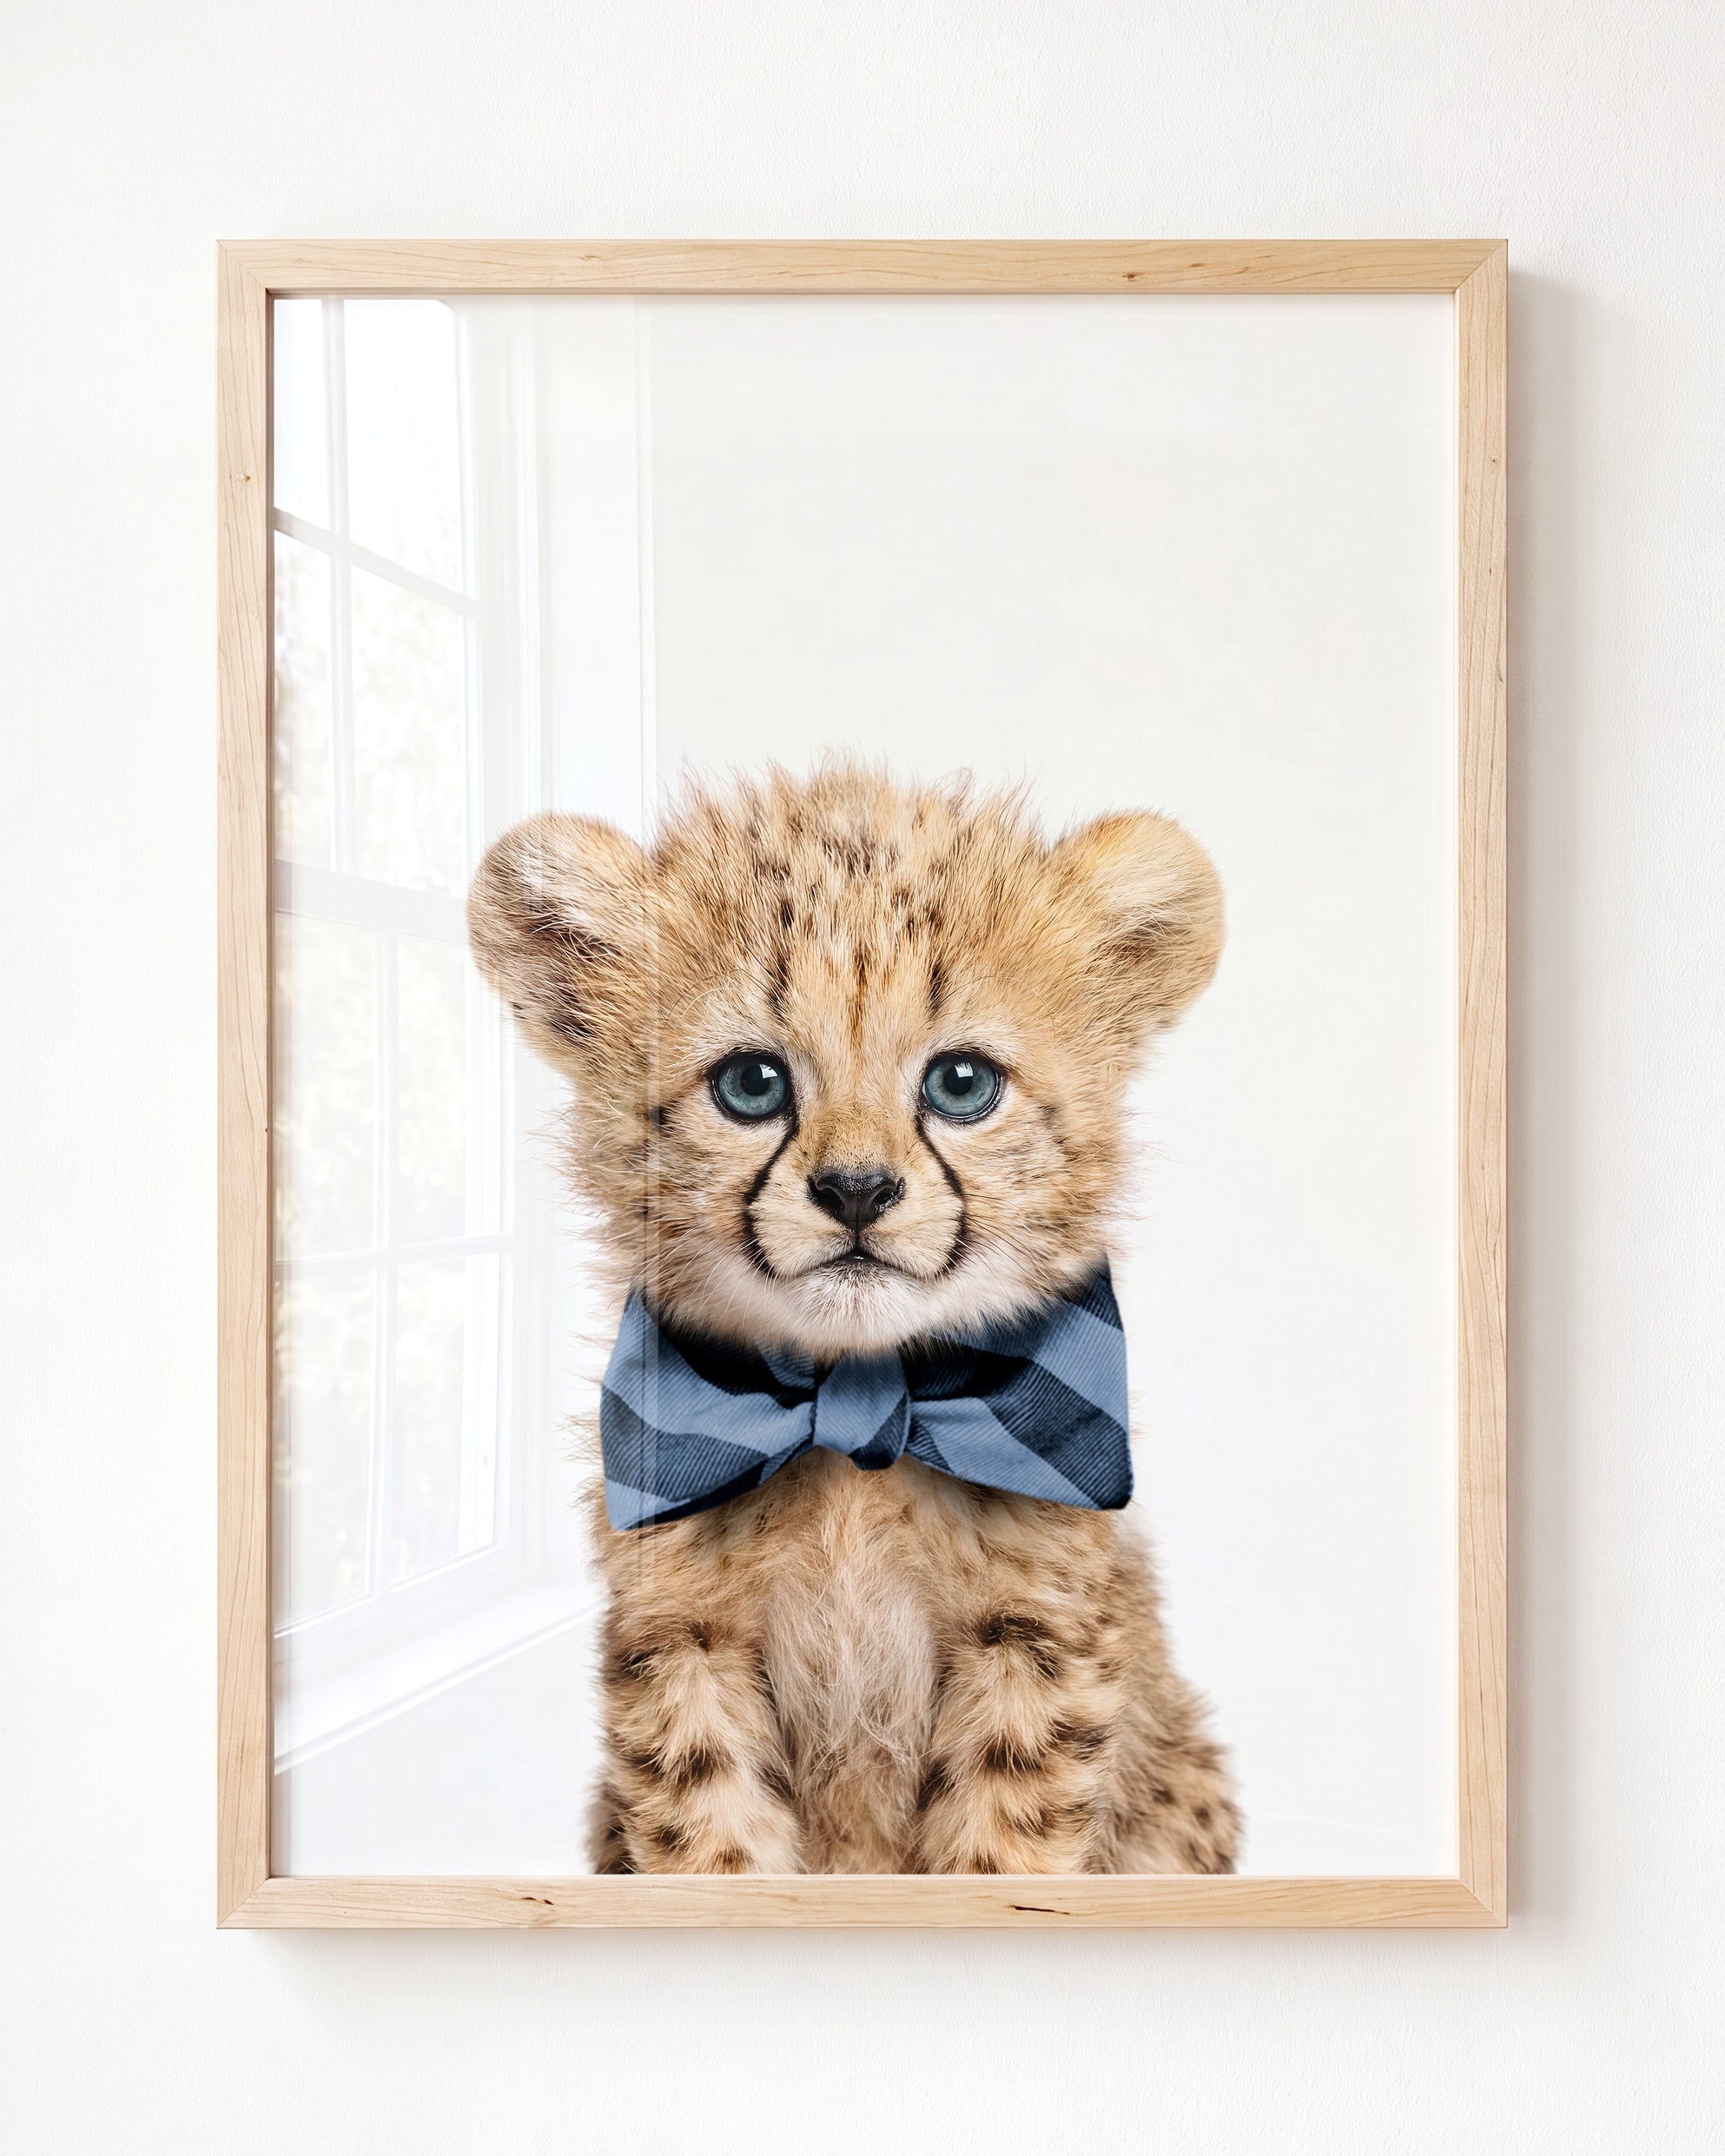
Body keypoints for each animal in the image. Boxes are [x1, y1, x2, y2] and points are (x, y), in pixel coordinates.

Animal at [468, 761, 1239, 1875]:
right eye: (751, 1083)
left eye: (961, 1082)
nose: (857, 1190)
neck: (856, 1405)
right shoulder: (683, 1638)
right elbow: (712, 1843)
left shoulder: (1036, 1639)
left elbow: (1000, 1850)